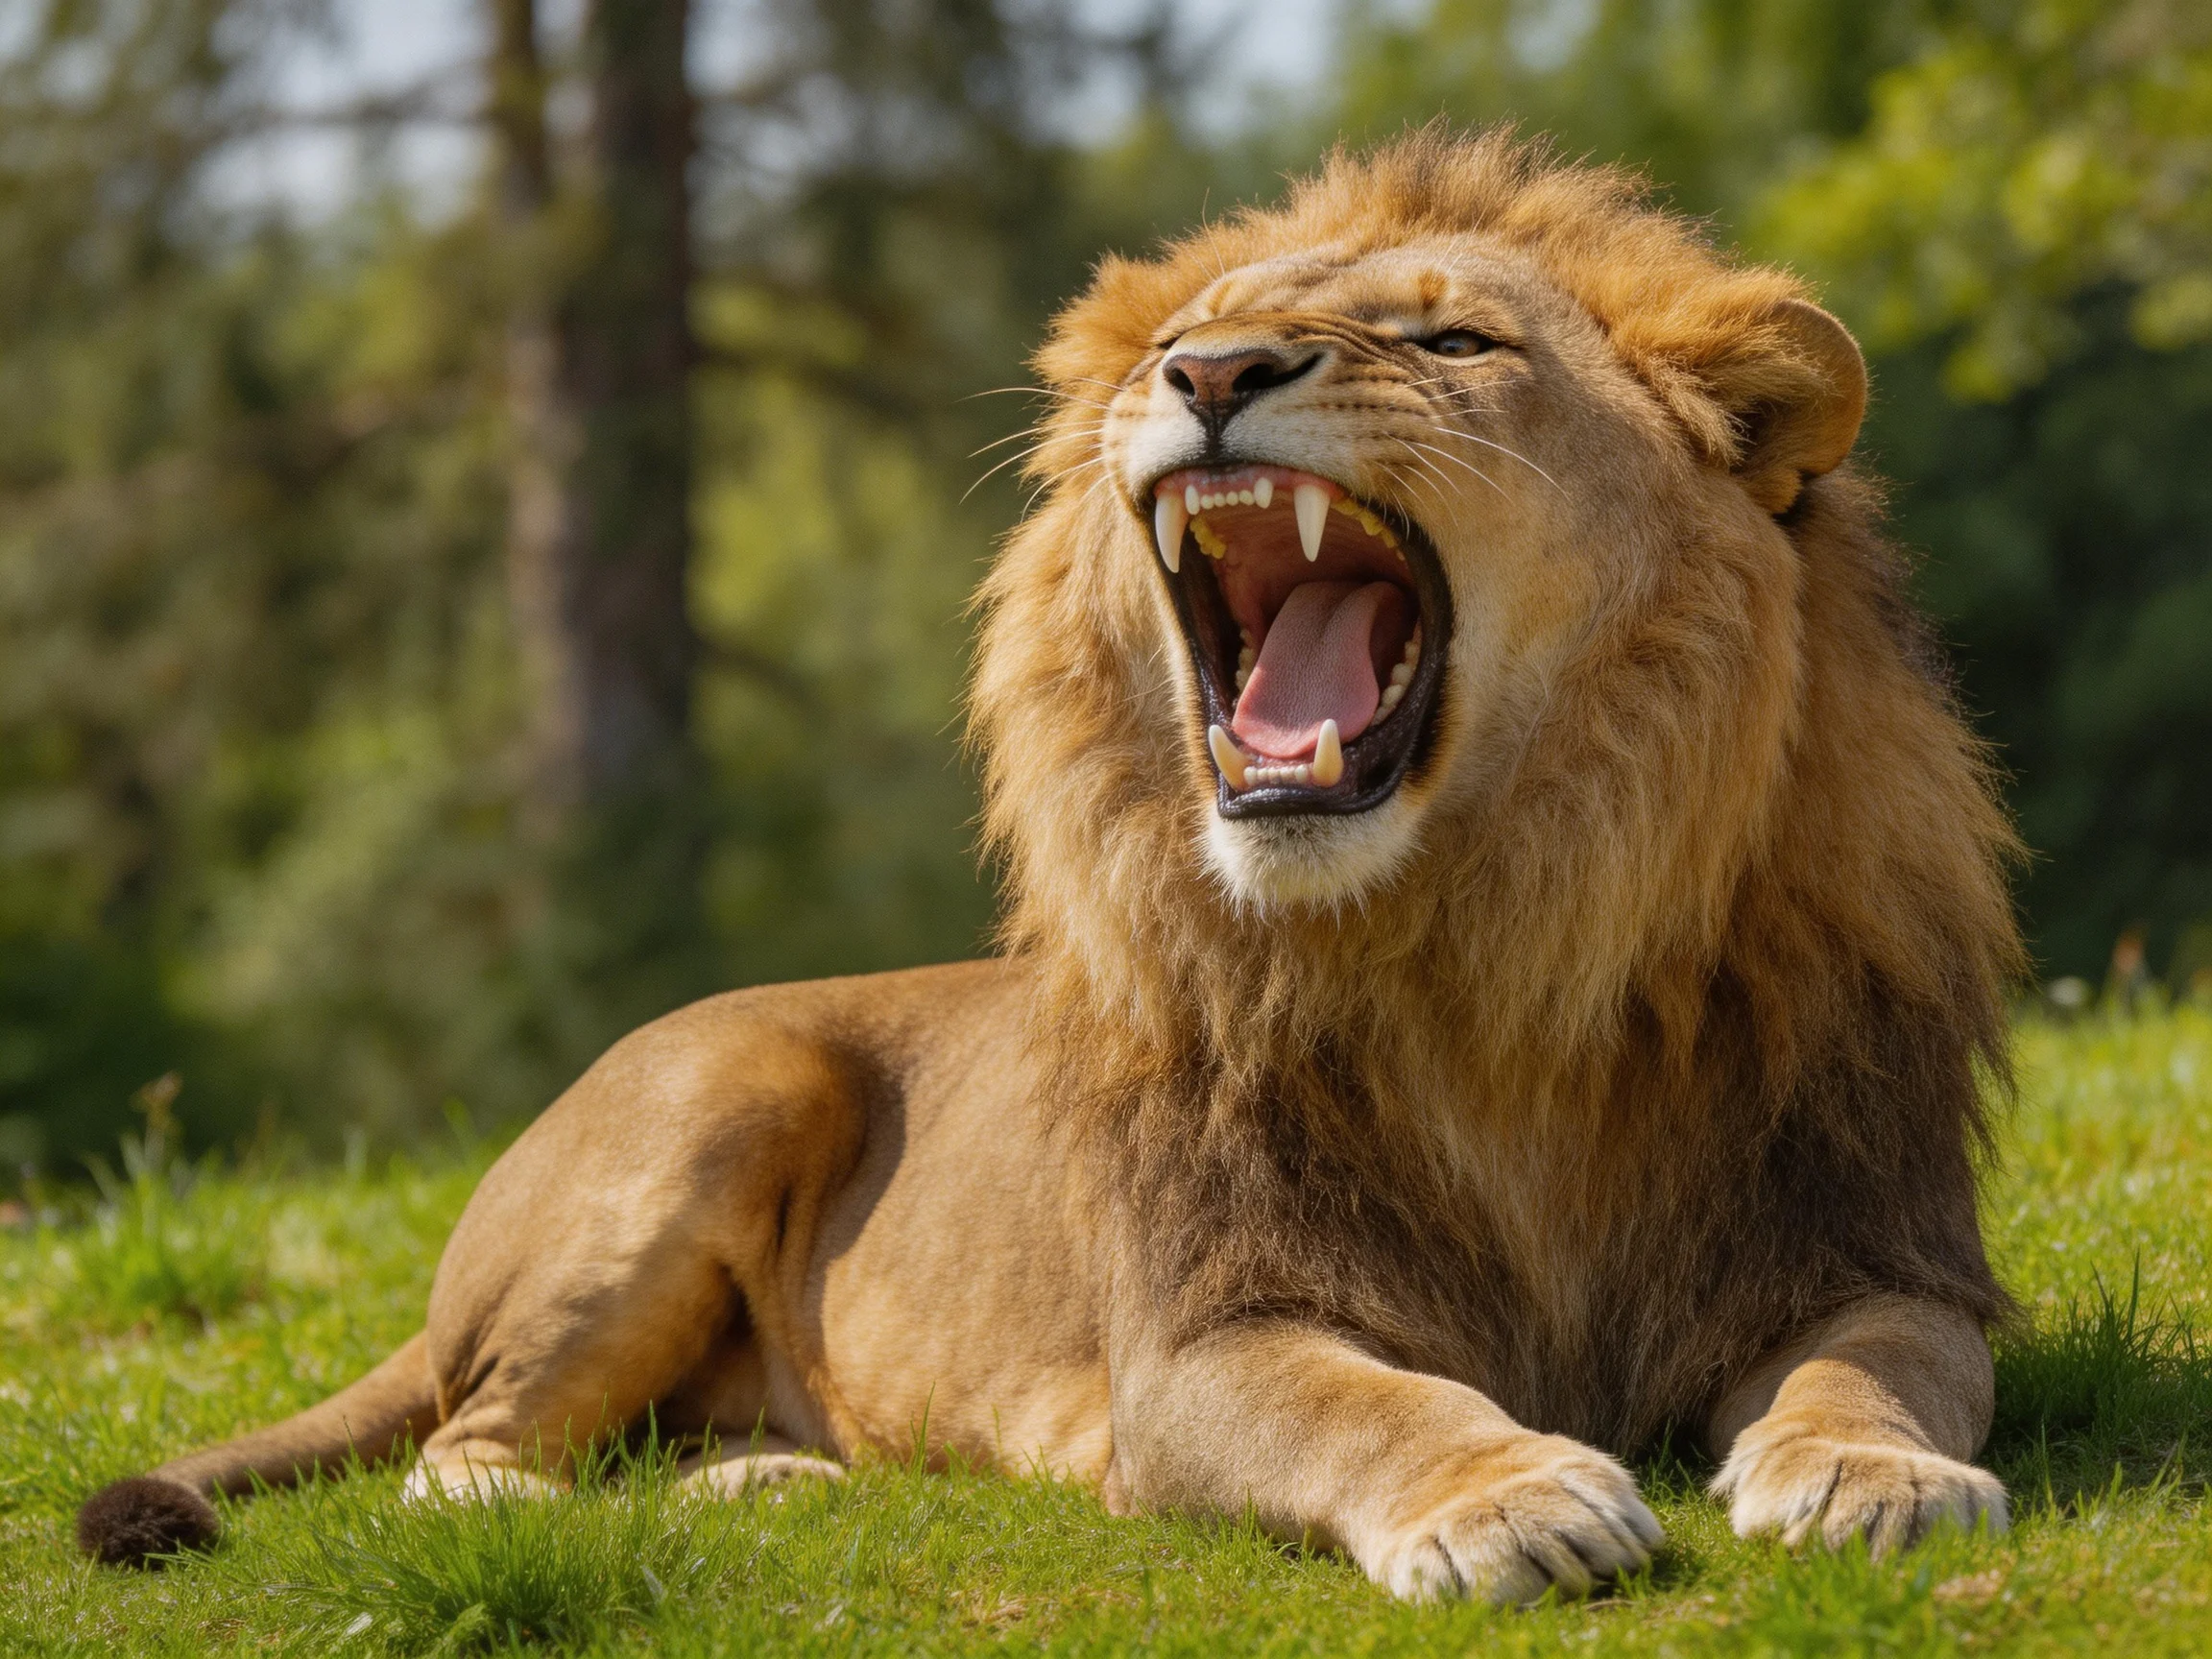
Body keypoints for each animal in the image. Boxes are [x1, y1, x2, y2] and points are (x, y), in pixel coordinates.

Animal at [78, 129, 2020, 1604]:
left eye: (1460, 343)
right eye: (1208, 331)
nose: (1210, 378)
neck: (1487, 942)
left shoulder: (1870, 1237)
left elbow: (1884, 1361)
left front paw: (1866, 1475)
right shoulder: (1201, 1341)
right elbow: (1371, 1408)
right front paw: (1510, 1497)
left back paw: (771, 1481)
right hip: (708, 1103)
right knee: (458, 1453)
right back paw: (543, 1497)